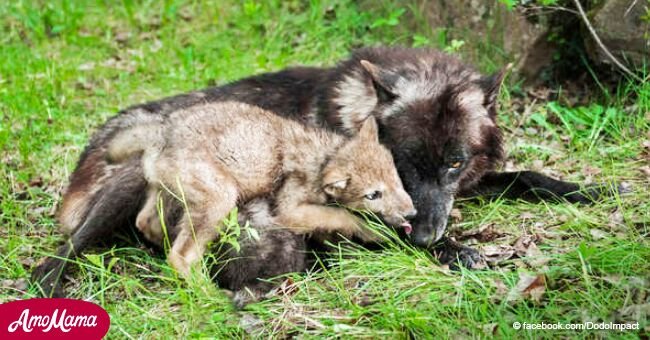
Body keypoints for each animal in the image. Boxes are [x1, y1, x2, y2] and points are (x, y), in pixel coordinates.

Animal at [31, 45, 612, 300]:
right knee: (66, 250)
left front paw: (582, 189)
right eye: (403, 163)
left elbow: (524, 175)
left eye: (455, 161)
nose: (427, 237)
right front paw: (455, 249)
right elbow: (382, 228)